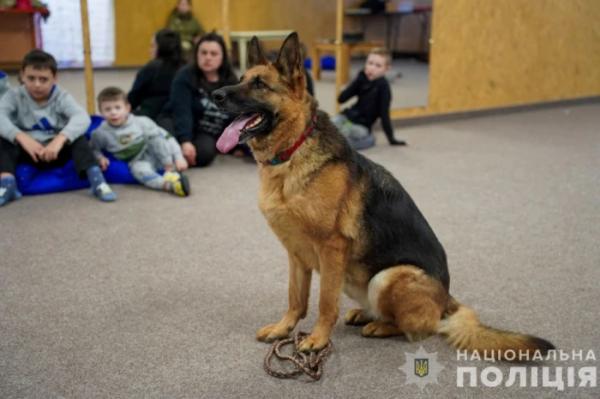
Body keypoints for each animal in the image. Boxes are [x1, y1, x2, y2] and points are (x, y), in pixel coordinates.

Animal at [213, 33, 556, 360]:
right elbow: (295, 299)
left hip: (388, 277)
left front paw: (318, 339)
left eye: (259, 84)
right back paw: (365, 314)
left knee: (422, 327)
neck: (293, 151)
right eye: (241, 77)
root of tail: (447, 299)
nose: (214, 95)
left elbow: (325, 302)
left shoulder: (331, 248)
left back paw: (379, 326)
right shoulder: (296, 254)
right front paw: (283, 329)